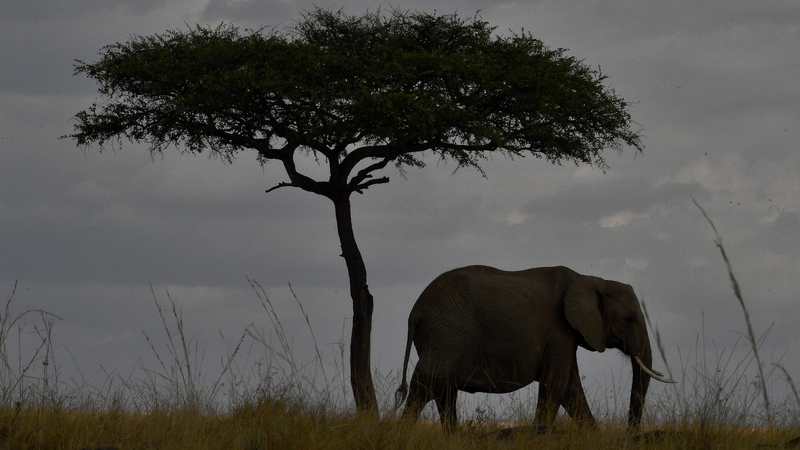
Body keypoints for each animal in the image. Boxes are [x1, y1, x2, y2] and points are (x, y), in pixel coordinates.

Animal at [394, 265, 674, 432]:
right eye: (629, 319)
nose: (630, 434)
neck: (593, 279)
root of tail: (415, 310)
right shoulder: (560, 328)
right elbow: (557, 383)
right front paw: (541, 434)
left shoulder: (564, 334)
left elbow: (571, 388)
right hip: (446, 334)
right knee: (427, 382)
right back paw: (403, 432)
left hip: (444, 337)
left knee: (444, 391)